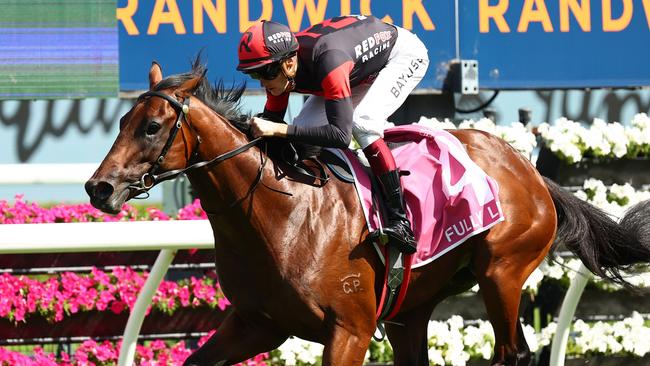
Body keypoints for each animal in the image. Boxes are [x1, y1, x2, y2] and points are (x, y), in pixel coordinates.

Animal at [86, 60, 648, 366]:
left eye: (152, 126)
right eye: (122, 120)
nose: (98, 187)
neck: (277, 214)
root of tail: (526, 168)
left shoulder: (349, 331)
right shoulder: (257, 323)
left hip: (502, 273)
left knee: (514, 352)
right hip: (410, 309)